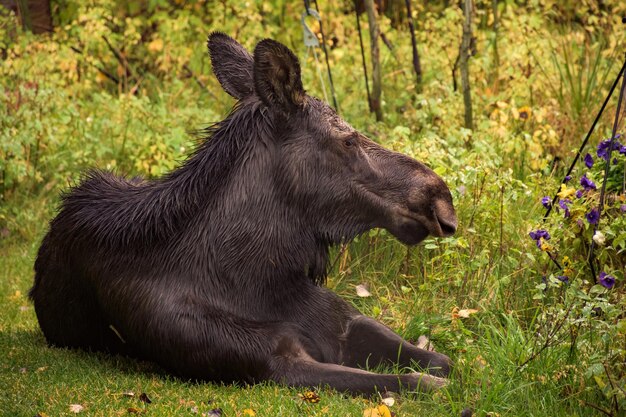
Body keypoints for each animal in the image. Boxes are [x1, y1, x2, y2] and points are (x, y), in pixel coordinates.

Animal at [29, 32, 456, 394]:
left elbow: (442, 362)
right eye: (348, 140)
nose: (441, 199)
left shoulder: (344, 323)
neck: (257, 277)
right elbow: (417, 382)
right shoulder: (272, 364)